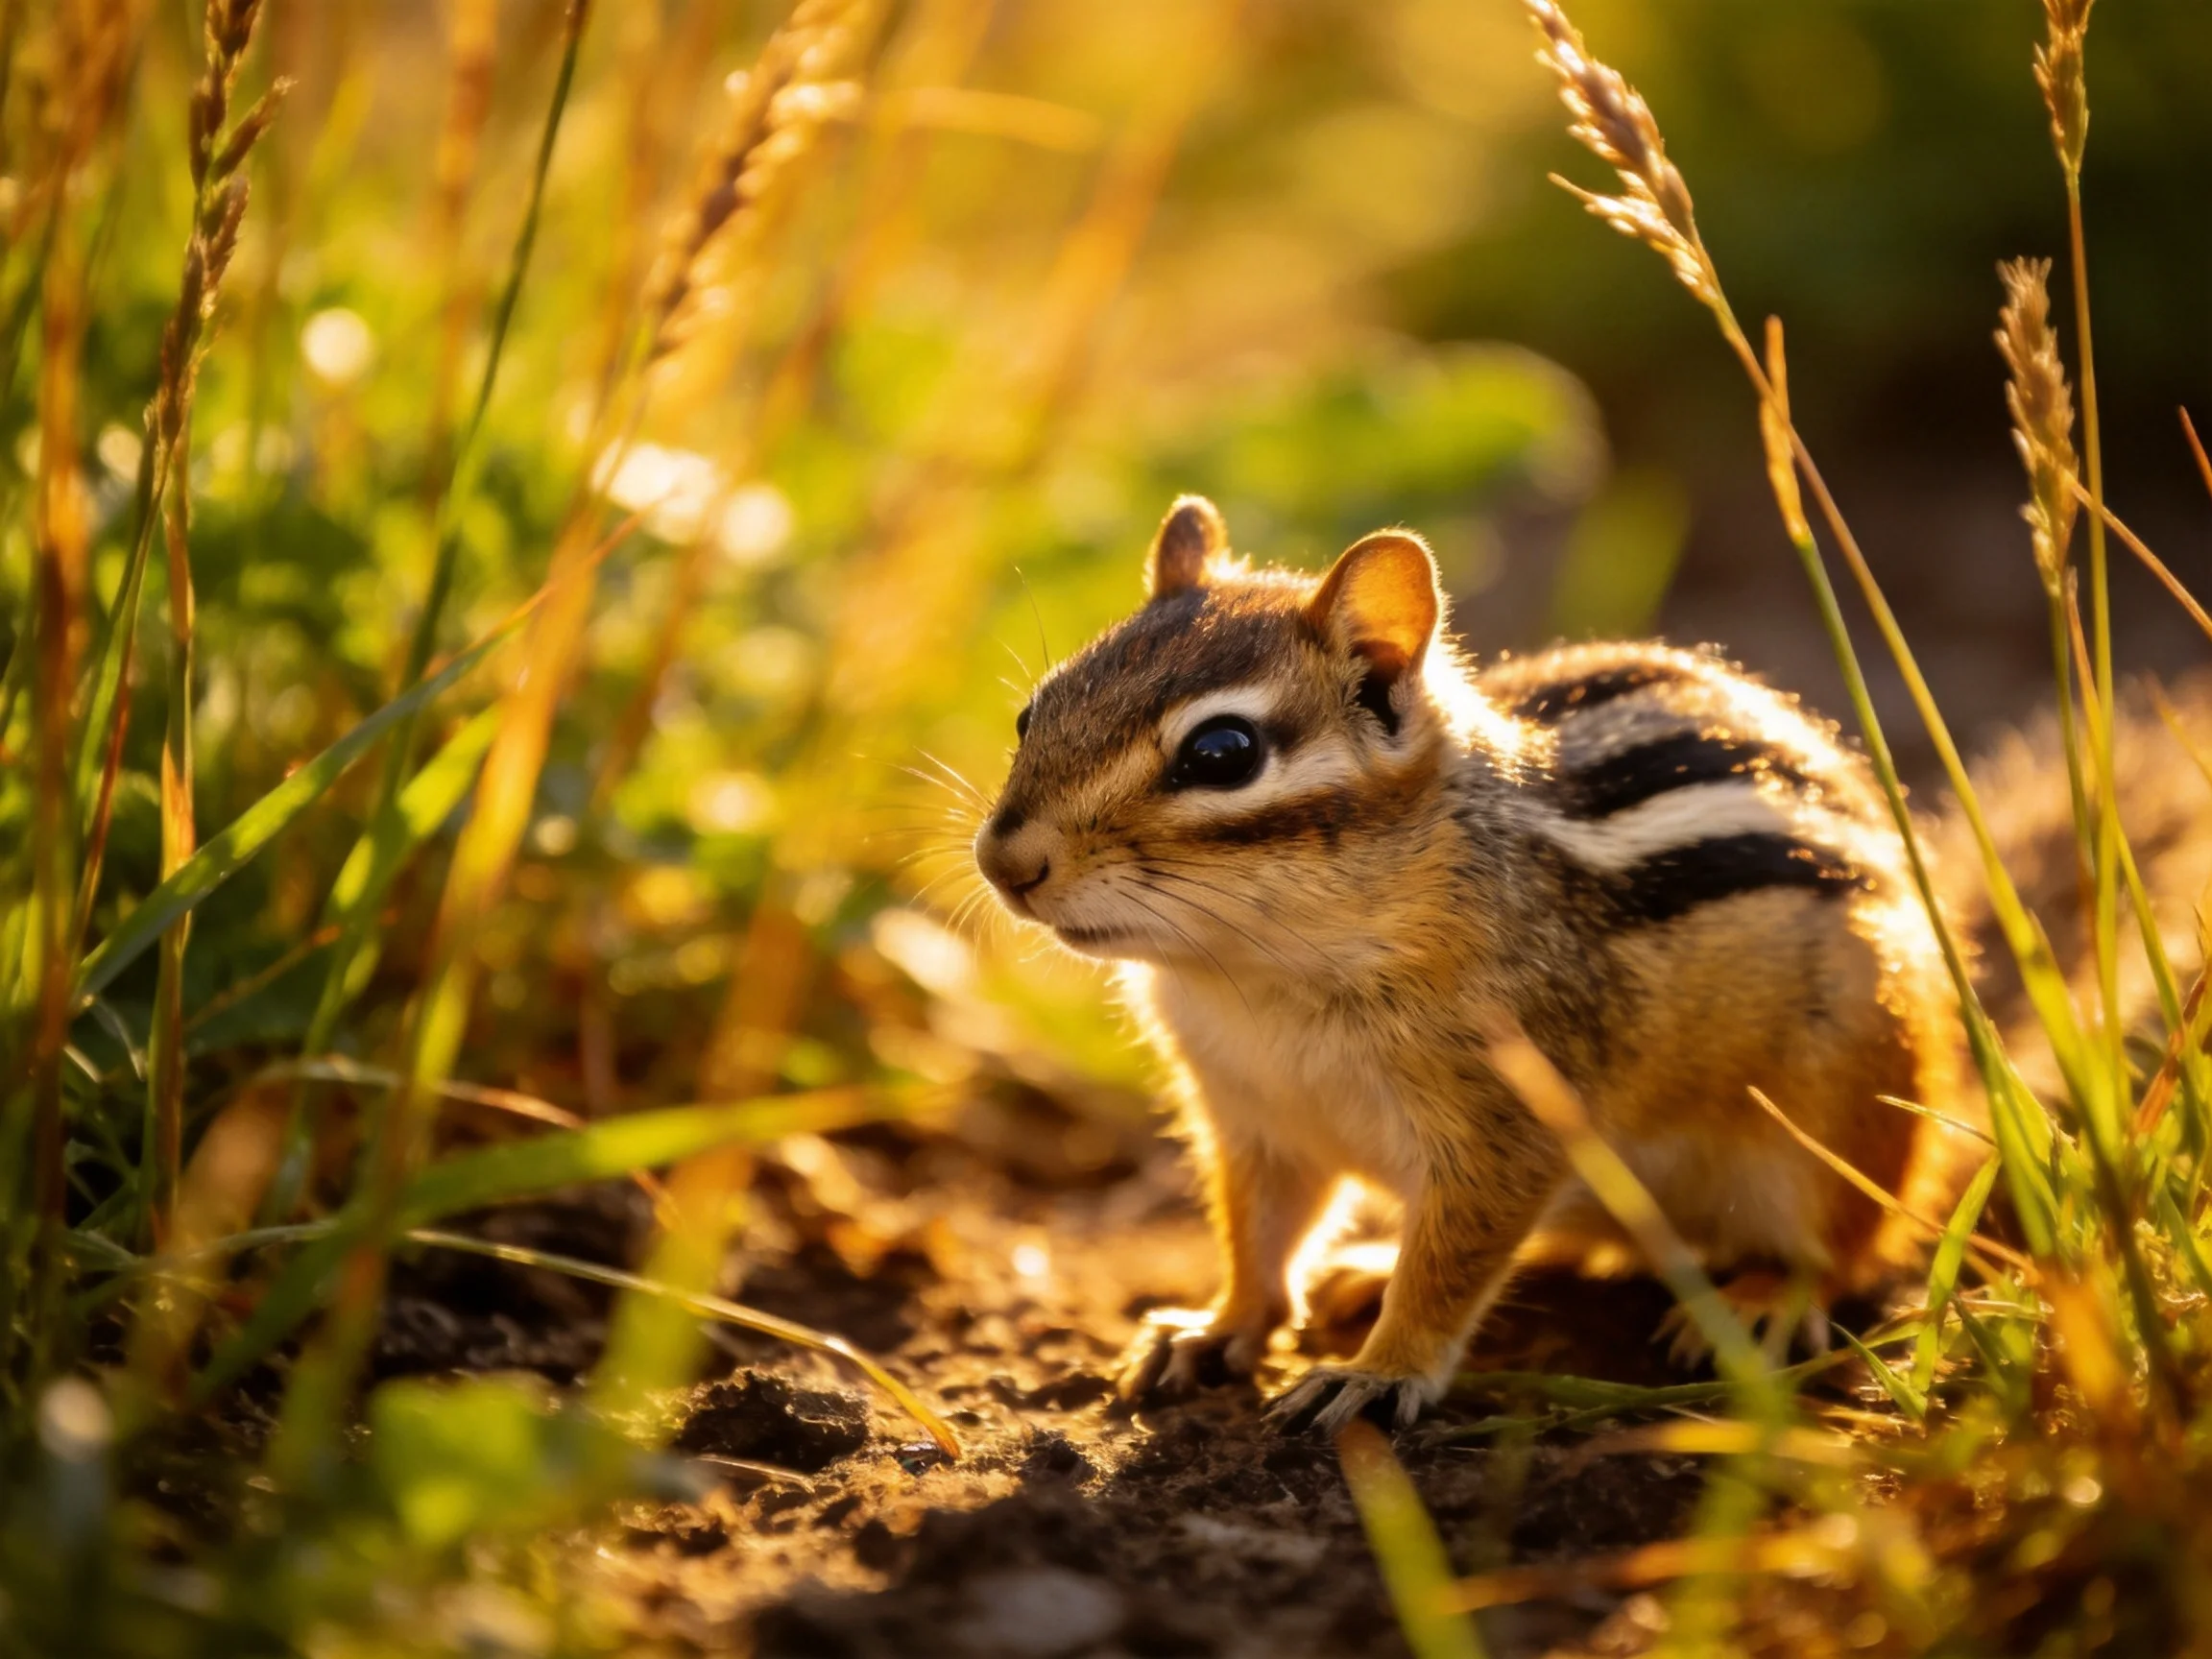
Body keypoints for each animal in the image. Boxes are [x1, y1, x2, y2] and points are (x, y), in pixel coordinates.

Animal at [972, 494, 2209, 1434]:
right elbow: (1257, 1237)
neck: (1258, 974)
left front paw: (1380, 1369)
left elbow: (1456, 1257)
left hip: (1835, 1111)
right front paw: (1217, 1327)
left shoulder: (1508, 1120)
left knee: (1848, 1243)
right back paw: (1361, 1268)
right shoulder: (1251, 1119)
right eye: (1035, 708)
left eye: (1223, 754)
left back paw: (1762, 1297)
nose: (1006, 860)